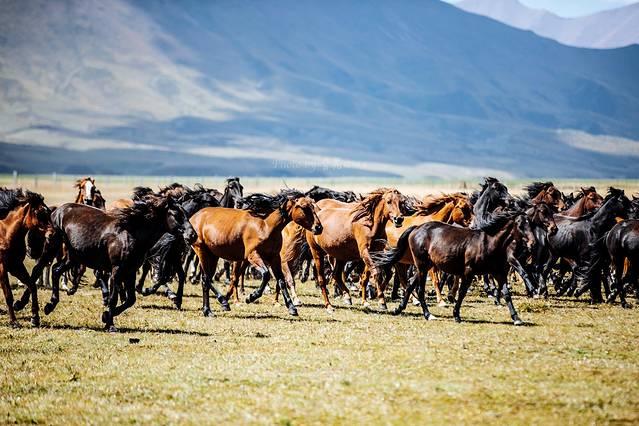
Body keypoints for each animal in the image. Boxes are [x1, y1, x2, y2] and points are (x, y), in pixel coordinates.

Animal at [0, 188, 50, 328]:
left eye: (49, 212)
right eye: (39, 213)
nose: (52, 233)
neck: (6, 233)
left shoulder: (15, 266)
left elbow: (32, 285)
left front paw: (35, 318)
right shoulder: (2, 268)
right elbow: (8, 295)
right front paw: (14, 322)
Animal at [189, 190, 320, 316]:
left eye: (313, 206)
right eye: (304, 207)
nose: (319, 227)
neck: (266, 226)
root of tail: (193, 217)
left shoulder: (275, 258)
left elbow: (281, 281)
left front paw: (292, 307)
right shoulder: (253, 256)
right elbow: (266, 275)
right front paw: (251, 296)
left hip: (213, 256)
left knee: (208, 279)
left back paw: (219, 304)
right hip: (202, 252)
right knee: (206, 279)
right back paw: (211, 308)